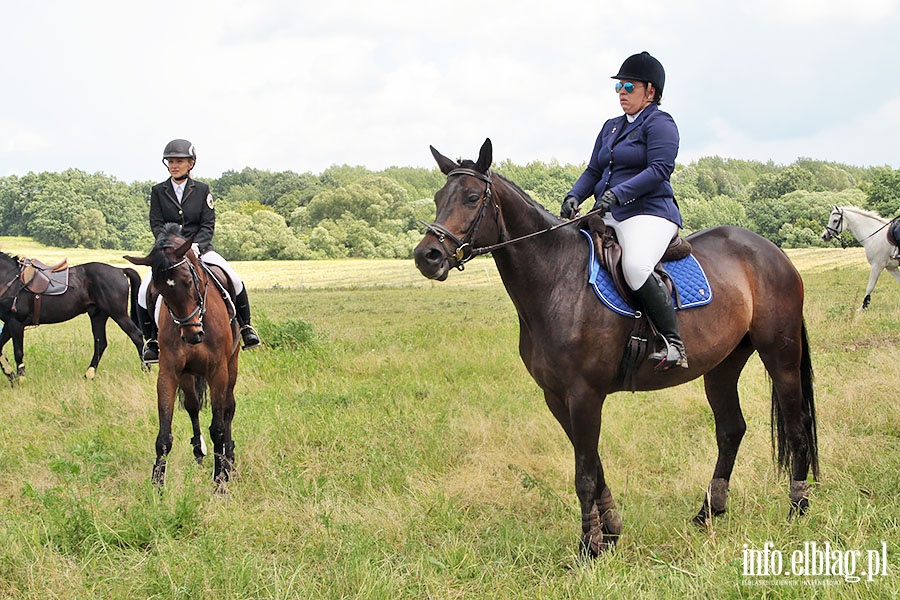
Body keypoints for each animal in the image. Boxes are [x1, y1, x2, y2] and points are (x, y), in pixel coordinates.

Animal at [0, 251, 143, 382]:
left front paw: (20, 379)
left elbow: (18, 352)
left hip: (118, 314)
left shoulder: (16, 323)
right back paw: (88, 375)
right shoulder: (9, 323)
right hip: (98, 316)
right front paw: (10, 373)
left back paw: (145, 370)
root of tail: (119, 270)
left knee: (136, 336)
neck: (10, 280)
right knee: (101, 343)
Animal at [125, 225, 243, 492]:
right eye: (159, 291)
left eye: (189, 282)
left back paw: (229, 460)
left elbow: (218, 427)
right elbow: (164, 434)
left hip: (232, 365)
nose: (192, 335)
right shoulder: (169, 372)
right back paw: (199, 452)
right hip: (188, 376)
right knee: (192, 406)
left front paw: (220, 481)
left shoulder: (218, 371)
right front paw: (157, 485)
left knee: (228, 408)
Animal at [412, 139, 820, 556]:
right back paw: (708, 512)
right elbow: (594, 466)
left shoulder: (584, 395)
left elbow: (584, 475)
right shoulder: (557, 397)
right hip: (722, 365)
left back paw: (797, 508)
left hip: (780, 355)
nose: (427, 256)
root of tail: (771, 250)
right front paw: (609, 533)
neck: (557, 280)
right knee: (731, 429)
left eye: (472, 197)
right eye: (438, 197)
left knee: (796, 424)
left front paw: (588, 548)